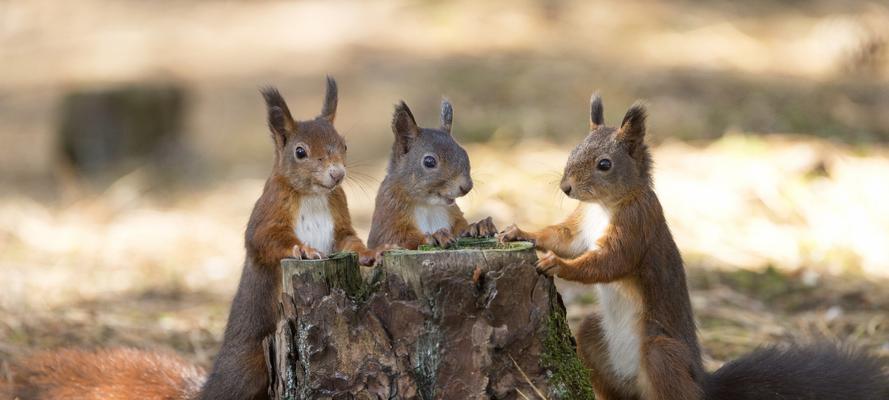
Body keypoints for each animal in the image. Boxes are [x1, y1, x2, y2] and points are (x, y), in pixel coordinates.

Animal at [364, 99, 496, 250]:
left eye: (464, 153)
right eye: (429, 161)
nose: (467, 187)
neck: (428, 206)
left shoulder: (454, 215)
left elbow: (461, 228)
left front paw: (479, 226)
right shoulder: (387, 218)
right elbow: (395, 239)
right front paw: (435, 236)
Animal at [500, 94, 888, 400]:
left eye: (604, 165)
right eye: (573, 150)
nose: (566, 188)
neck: (605, 207)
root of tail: (704, 384)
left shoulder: (638, 227)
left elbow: (611, 262)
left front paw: (558, 265)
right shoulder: (581, 224)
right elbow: (563, 238)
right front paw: (520, 232)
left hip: (661, 355)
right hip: (594, 337)